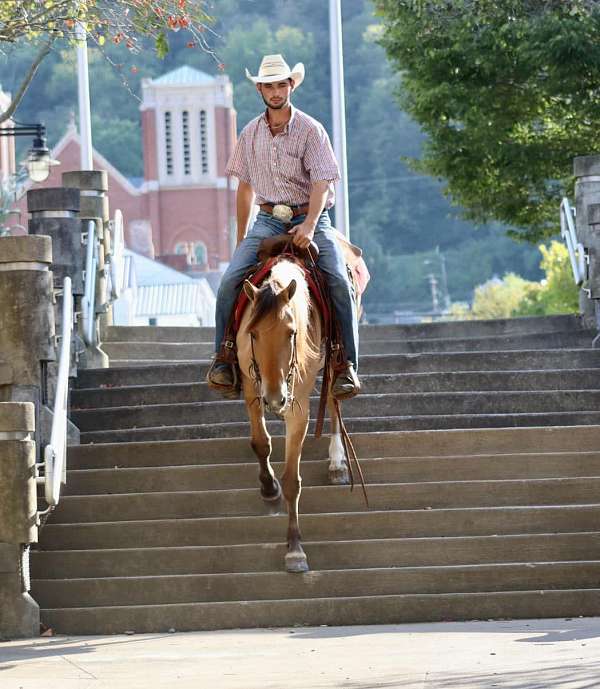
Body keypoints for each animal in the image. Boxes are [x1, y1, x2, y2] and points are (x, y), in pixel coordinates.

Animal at [237, 255, 350, 572]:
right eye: (253, 333)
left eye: (290, 332)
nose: (275, 398)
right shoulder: (252, 387)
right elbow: (260, 443)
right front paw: (268, 489)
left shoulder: (298, 405)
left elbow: (292, 480)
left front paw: (295, 549)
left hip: (333, 362)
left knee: (334, 400)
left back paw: (337, 463)